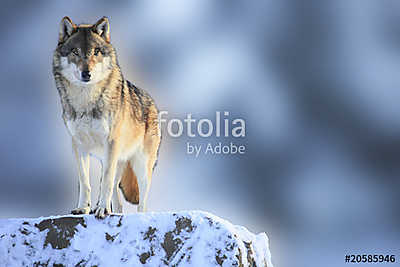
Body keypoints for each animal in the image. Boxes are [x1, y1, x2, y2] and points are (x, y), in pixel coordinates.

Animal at [52, 15, 161, 219]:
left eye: (96, 52)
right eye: (75, 51)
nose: (86, 73)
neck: (86, 101)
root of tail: (152, 102)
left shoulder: (111, 142)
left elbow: (106, 183)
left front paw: (102, 209)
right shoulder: (78, 144)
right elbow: (84, 182)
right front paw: (83, 208)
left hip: (140, 165)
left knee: (141, 199)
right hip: (113, 160)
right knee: (117, 198)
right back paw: (112, 211)